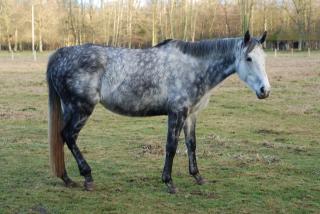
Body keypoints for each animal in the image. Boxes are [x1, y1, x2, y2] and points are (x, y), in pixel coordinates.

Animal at [47, 30, 270, 193]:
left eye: (264, 58)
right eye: (248, 58)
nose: (265, 91)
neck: (193, 66)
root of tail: (60, 55)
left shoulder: (191, 115)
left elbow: (191, 144)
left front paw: (197, 176)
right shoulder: (177, 112)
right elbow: (171, 146)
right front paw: (169, 182)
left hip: (70, 109)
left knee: (62, 138)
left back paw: (67, 178)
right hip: (82, 108)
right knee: (69, 136)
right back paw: (87, 176)